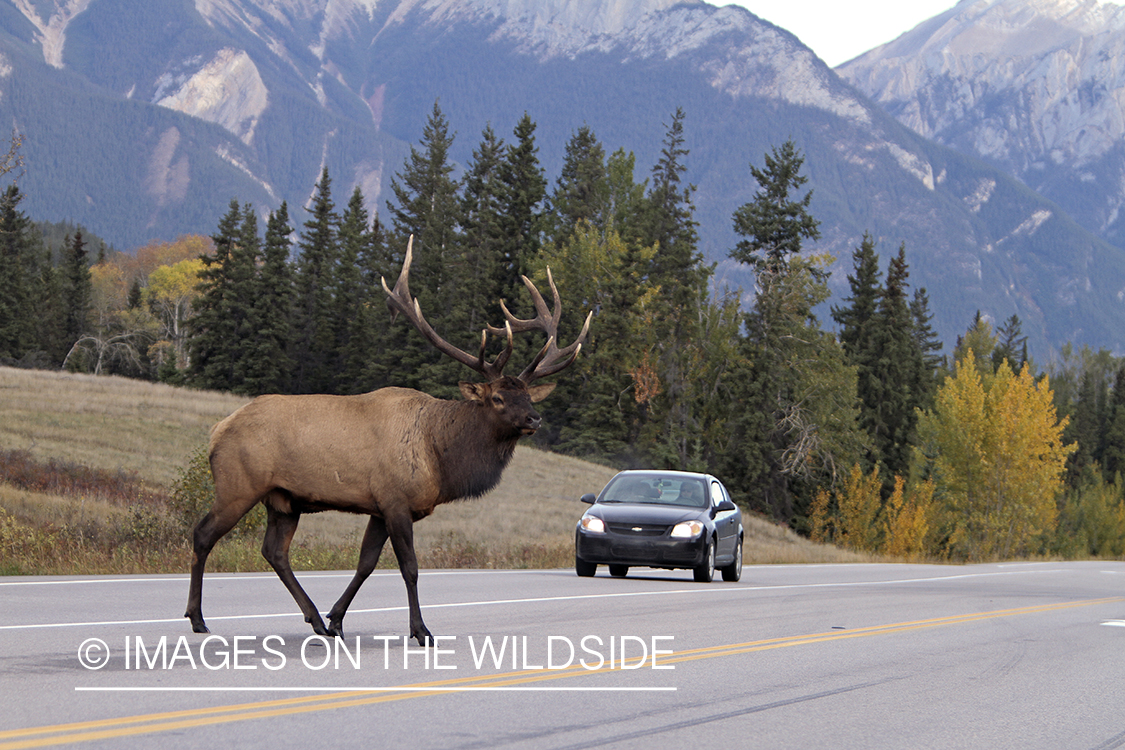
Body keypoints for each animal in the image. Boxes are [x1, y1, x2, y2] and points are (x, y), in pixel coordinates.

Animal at [184, 239, 589, 647]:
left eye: (529, 396)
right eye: (498, 398)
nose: (535, 419)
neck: (439, 457)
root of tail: (218, 429)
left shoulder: (378, 507)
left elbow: (365, 564)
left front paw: (336, 619)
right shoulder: (395, 500)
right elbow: (409, 567)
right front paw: (421, 630)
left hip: (283, 500)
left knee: (274, 551)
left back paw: (314, 619)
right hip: (238, 484)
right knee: (203, 534)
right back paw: (198, 618)